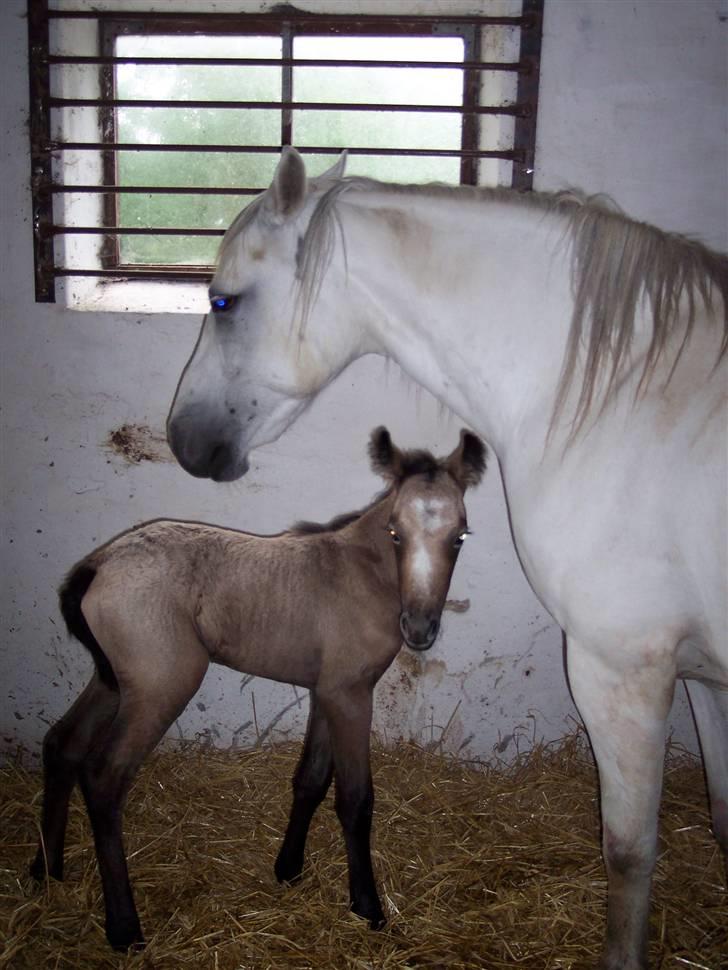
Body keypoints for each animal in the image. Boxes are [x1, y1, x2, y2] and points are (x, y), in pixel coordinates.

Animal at [31, 424, 486, 944]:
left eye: (460, 535)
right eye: (395, 531)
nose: (419, 629)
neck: (360, 574)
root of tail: (99, 564)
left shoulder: (327, 691)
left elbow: (310, 779)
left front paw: (288, 868)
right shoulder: (351, 695)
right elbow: (355, 799)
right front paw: (367, 906)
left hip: (113, 681)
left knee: (62, 744)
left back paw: (46, 869)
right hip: (161, 688)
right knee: (104, 776)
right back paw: (124, 928)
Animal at [168, 149, 724, 968]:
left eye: (223, 301)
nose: (180, 438)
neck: (622, 400)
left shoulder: (623, 668)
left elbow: (628, 853)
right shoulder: (703, 678)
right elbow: (721, 813)